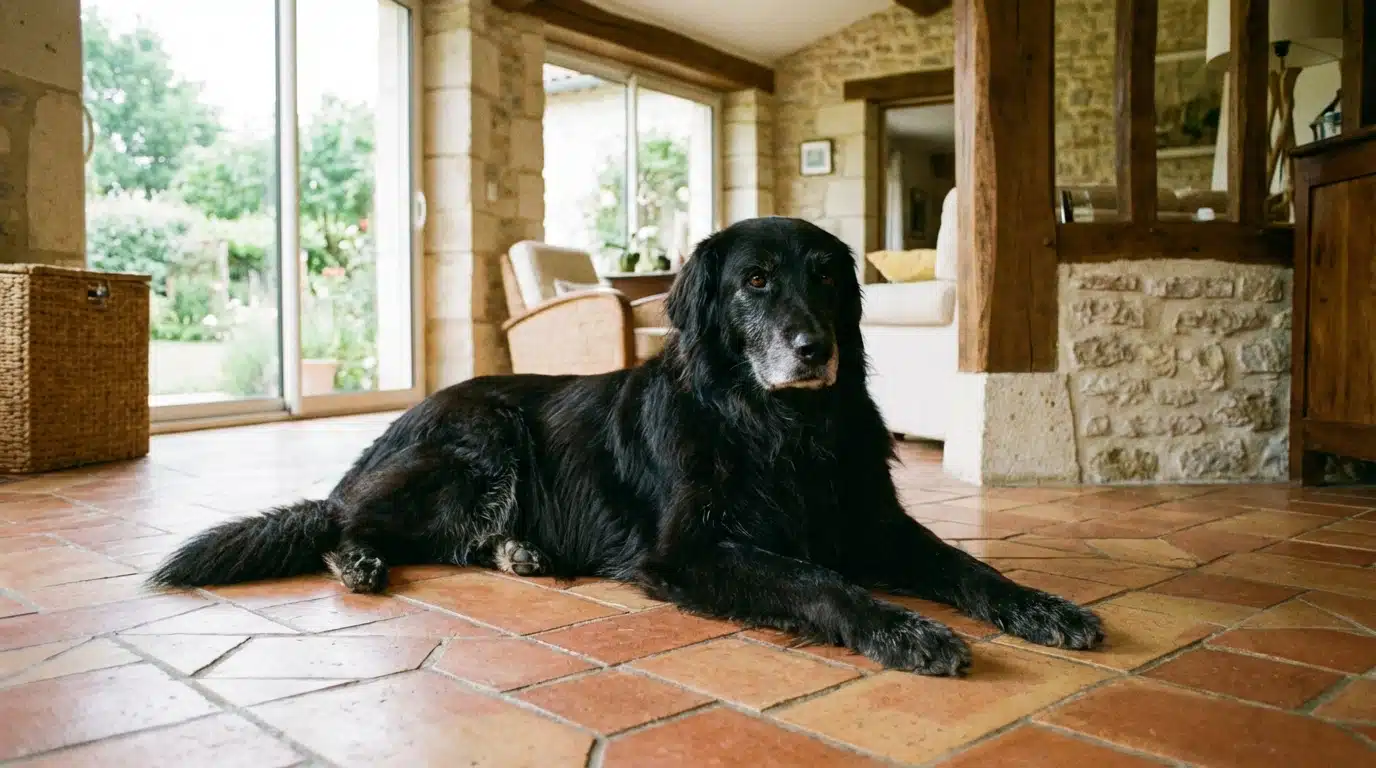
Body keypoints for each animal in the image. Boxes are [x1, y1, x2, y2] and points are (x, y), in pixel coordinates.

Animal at [151, 217, 1103, 675]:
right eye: (757, 281)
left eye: (830, 277)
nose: (815, 349)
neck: (778, 430)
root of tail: (408, 416)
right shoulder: (692, 551)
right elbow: (819, 583)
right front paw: (904, 631)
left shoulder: (876, 525)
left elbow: (970, 567)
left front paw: (1043, 608)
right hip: (480, 448)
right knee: (337, 516)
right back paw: (358, 560)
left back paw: (521, 553)